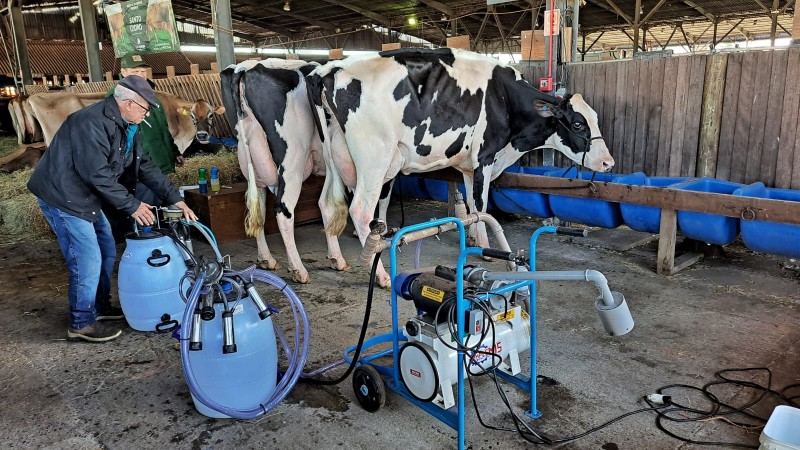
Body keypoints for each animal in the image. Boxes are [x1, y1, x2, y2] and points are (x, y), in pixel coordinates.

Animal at [306, 47, 612, 286]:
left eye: (596, 118)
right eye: (577, 124)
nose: (608, 162)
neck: (506, 99)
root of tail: (329, 68)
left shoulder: (468, 167)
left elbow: (473, 208)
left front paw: (475, 241)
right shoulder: (485, 157)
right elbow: (482, 205)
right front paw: (489, 250)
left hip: (333, 155)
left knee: (326, 204)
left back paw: (337, 259)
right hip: (375, 156)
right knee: (359, 210)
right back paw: (380, 275)